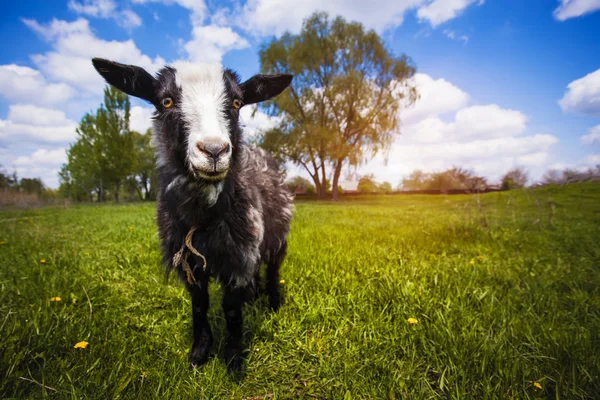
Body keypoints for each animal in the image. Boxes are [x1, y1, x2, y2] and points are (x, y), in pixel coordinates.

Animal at [91, 57, 292, 374]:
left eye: (237, 103)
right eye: (166, 101)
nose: (214, 150)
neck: (201, 217)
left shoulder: (237, 257)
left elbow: (231, 310)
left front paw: (234, 360)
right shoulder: (191, 261)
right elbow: (199, 304)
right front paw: (199, 354)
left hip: (278, 235)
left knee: (273, 268)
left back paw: (272, 301)